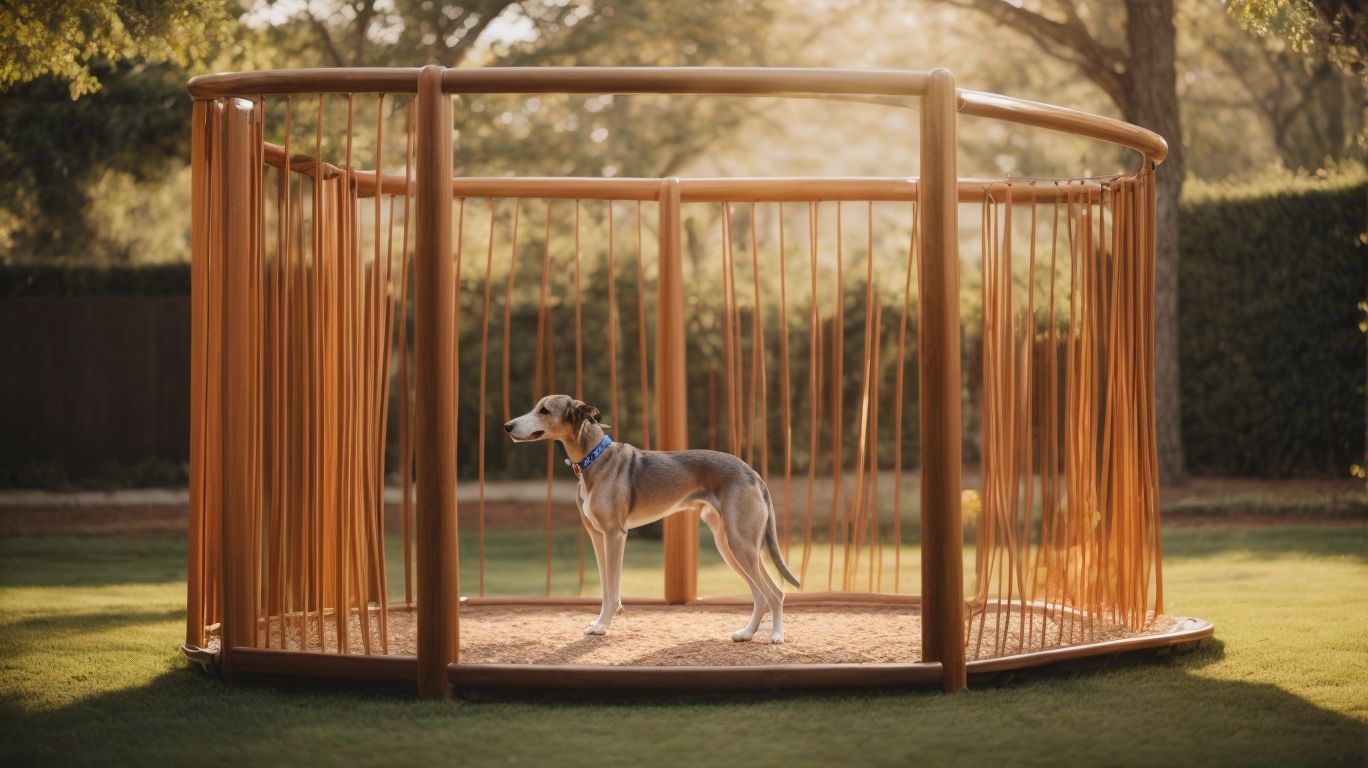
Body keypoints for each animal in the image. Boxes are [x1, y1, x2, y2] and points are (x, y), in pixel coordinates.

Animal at [506, 394, 798, 640]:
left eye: (544, 410)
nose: (507, 426)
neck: (595, 459)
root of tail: (753, 473)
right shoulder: (597, 537)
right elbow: (605, 587)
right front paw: (600, 623)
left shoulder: (615, 535)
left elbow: (612, 588)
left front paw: (603, 626)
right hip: (730, 545)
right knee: (760, 594)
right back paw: (747, 633)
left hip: (740, 544)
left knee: (775, 592)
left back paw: (776, 636)